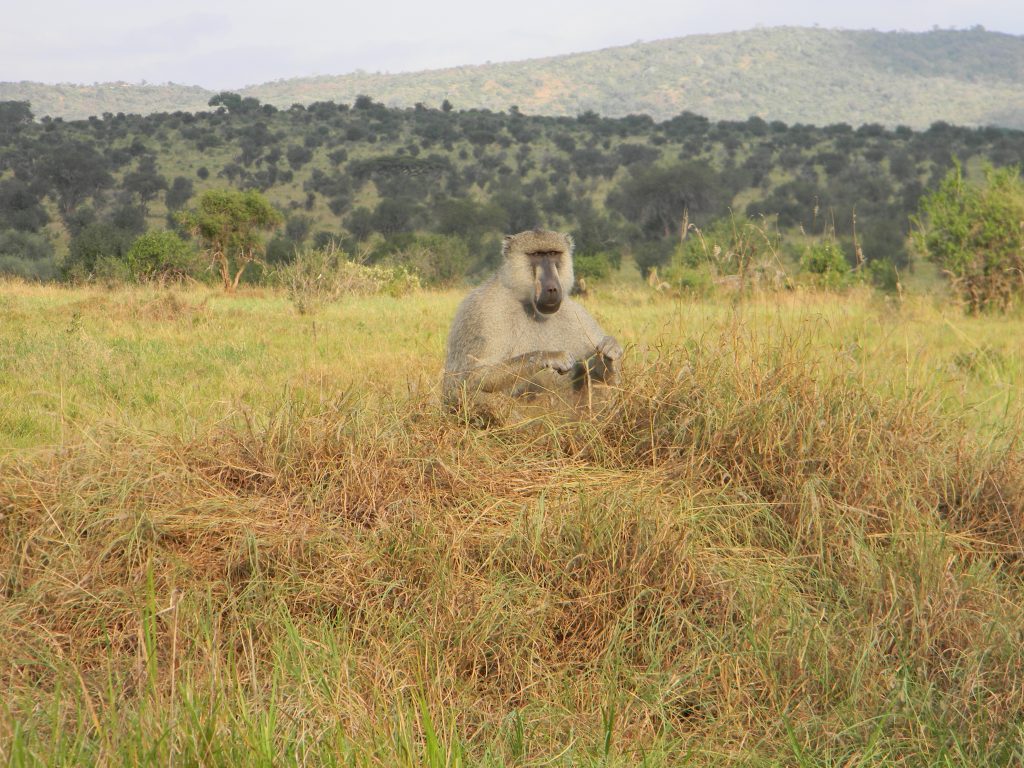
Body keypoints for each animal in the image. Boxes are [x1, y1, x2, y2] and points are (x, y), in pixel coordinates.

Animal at [443, 229, 623, 423]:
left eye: (553, 254)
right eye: (536, 255)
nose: (552, 289)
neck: (531, 306)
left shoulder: (578, 314)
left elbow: (600, 380)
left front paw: (609, 351)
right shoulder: (484, 312)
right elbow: (467, 381)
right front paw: (549, 356)